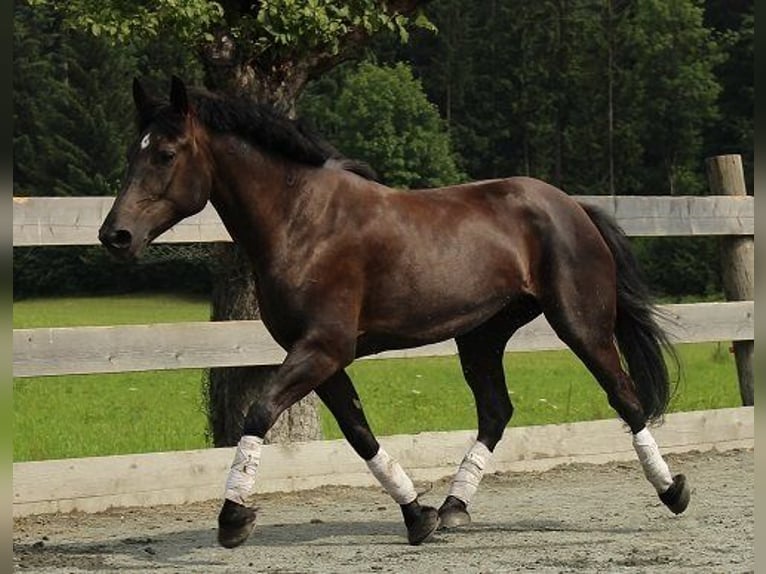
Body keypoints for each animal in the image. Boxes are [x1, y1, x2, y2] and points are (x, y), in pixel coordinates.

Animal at [99, 76, 692, 548]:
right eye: (131, 152)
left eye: (166, 153)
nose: (115, 236)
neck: (303, 221)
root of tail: (572, 207)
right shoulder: (321, 357)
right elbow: (359, 432)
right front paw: (417, 516)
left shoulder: (322, 348)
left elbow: (260, 412)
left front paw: (233, 519)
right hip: (481, 335)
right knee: (496, 412)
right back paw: (453, 508)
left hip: (580, 324)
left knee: (625, 398)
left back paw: (674, 492)